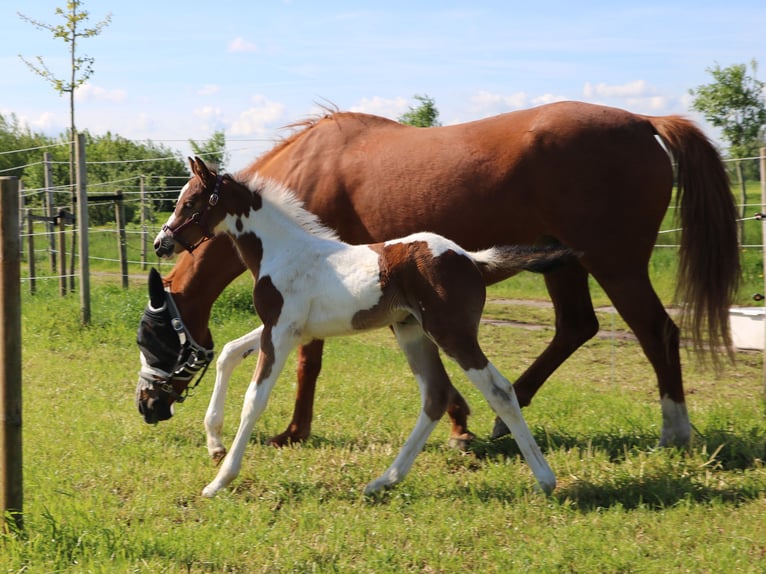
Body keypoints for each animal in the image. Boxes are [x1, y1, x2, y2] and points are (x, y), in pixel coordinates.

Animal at [135, 102, 740, 450]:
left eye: (151, 338)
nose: (147, 405)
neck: (305, 175)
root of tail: (644, 121)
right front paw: (461, 421)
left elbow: (309, 360)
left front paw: (292, 431)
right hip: (564, 264)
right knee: (576, 327)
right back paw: (505, 422)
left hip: (617, 265)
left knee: (656, 331)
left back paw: (674, 431)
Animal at [153, 159, 576, 500]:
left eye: (191, 202)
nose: (161, 243)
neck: (282, 251)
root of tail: (470, 258)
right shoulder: (284, 328)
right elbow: (228, 352)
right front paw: (214, 444)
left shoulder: (282, 332)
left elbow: (254, 400)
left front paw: (220, 480)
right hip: (411, 331)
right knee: (435, 395)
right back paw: (383, 481)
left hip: (452, 333)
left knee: (499, 390)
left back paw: (545, 480)